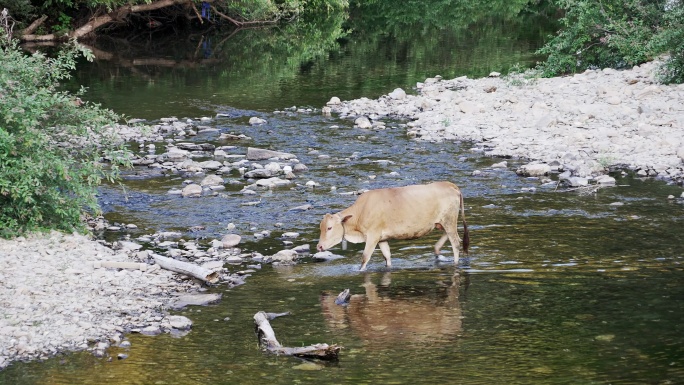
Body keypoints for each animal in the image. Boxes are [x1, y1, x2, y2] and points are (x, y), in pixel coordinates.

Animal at [316, 181, 468, 268]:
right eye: (321, 228)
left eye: (329, 227)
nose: (319, 246)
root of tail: (448, 184)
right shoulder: (382, 238)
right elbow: (387, 256)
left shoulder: (373, 236)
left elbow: (365, 258)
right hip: (442, 222)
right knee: (449, 236)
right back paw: (437, 250)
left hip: (449, 220)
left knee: (455, 242)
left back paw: (455, 263)